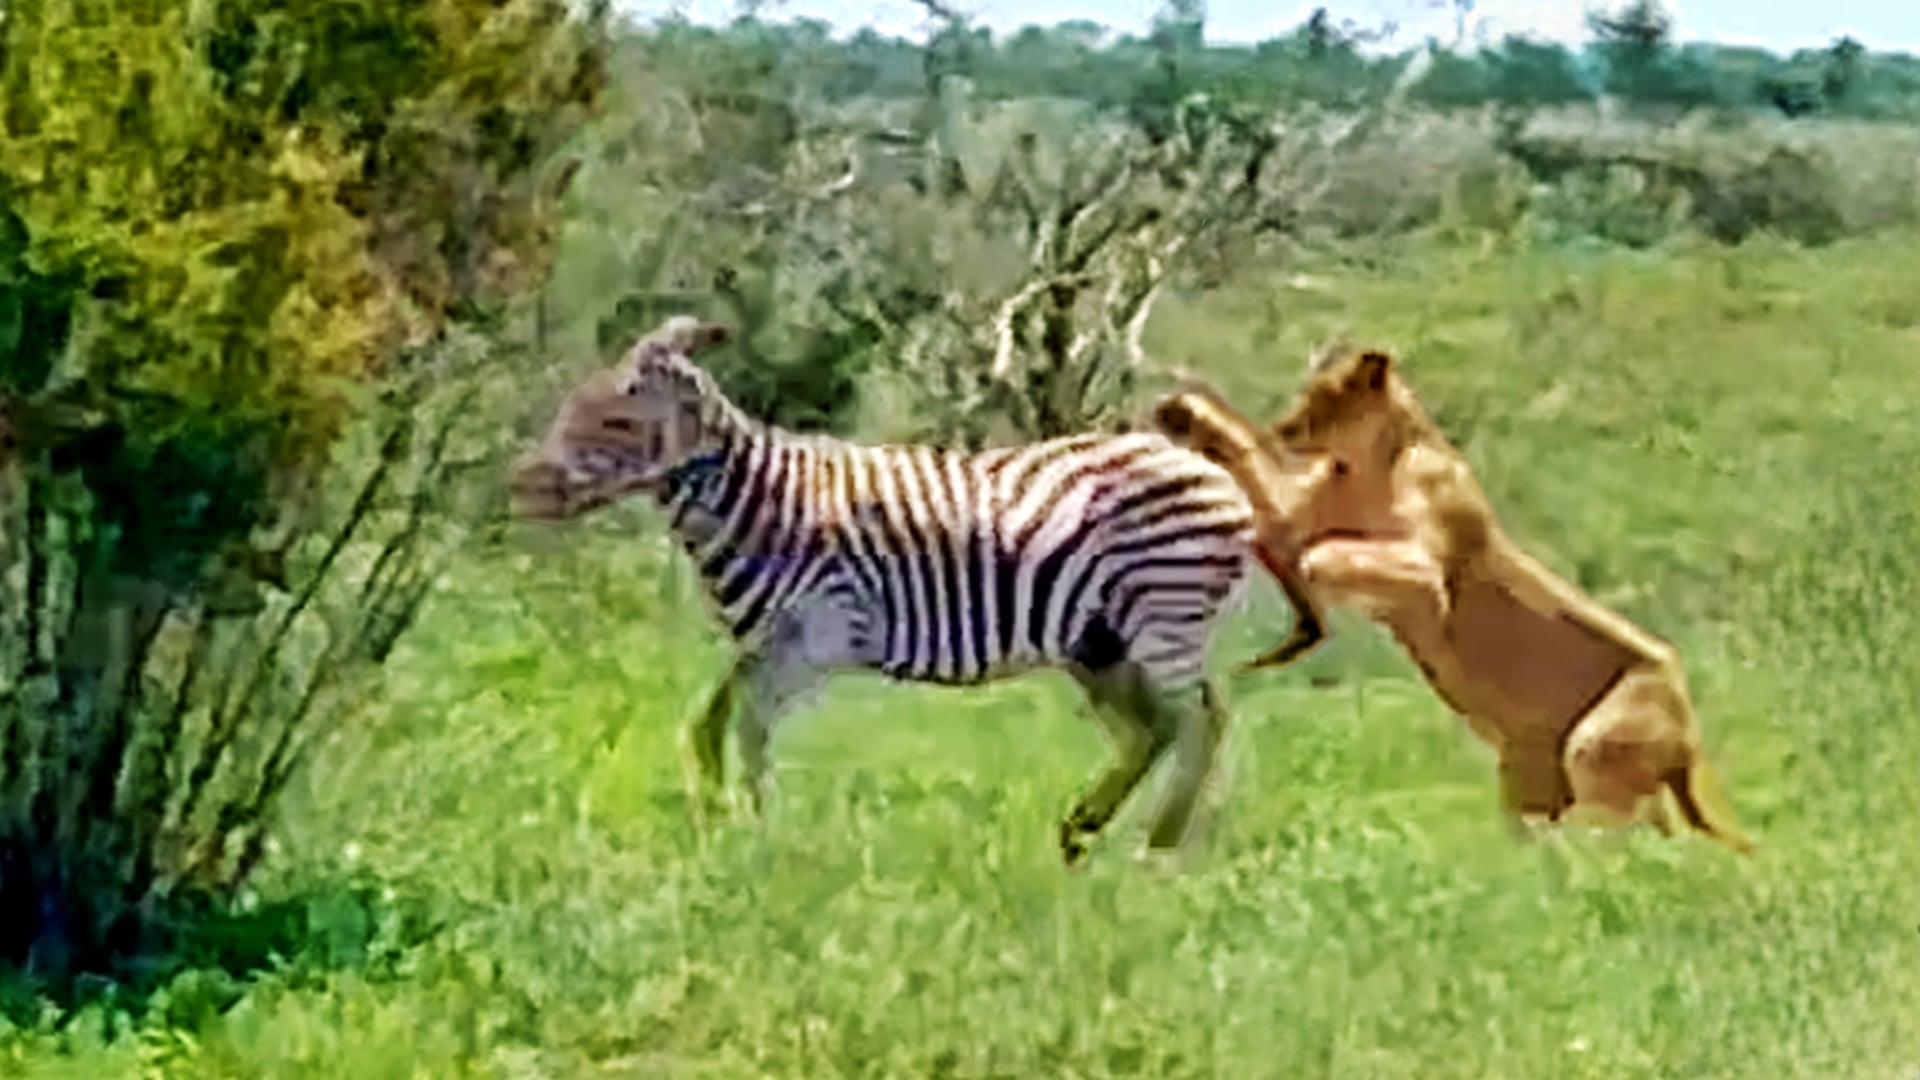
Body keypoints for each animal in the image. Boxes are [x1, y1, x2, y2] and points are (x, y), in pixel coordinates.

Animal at [507, 316, 1318, 867]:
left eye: (614, 421)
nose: (521, 487)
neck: (756, 505)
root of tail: (1202, 465)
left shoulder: (816, 639)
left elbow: (750, 730)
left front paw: (758, 833)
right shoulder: (763, 643)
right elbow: (708, 724)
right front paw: (714, 819)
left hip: (1160, 617)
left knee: (1199, 722)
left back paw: (1159, 847)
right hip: (1099, 644)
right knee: (1155, 729)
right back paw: (1079, 835)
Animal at [1150, 349, 1756, 854]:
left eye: (1323, 395)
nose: (1286, 426)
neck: (1370, 461)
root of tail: (1690, 733)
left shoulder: (1427, 576)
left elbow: (1334, 553)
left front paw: (1318, 583)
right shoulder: (1295, 516)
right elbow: (1263, 480)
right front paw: (1190, 413)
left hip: (1596, 746)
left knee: (1634, 835)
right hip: (1526, 777)